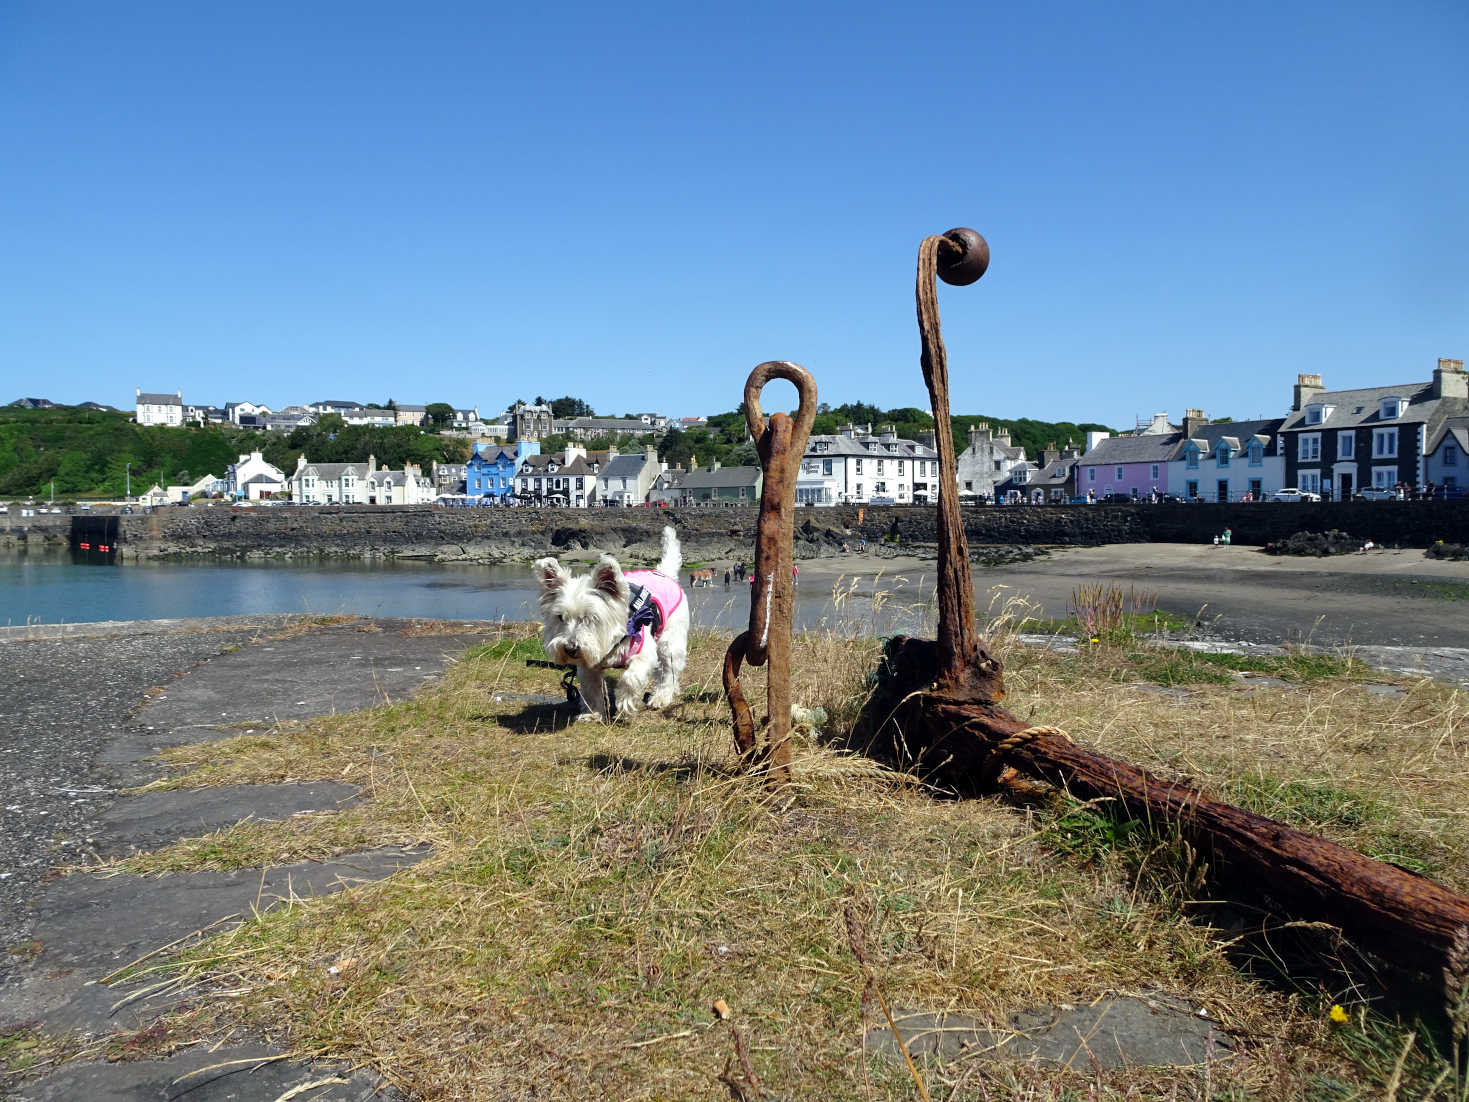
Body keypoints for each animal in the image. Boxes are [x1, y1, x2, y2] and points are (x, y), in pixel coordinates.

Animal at [534, 528, 687, 725]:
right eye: (560, 617)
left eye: (591, 617)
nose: (570, 649)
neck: (610, 645)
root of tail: (663, 573)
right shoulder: (587, 665)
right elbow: (591, 690)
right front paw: (593, 713)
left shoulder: (644, 653)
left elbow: (630, 678)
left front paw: (625, 706)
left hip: (669, 643)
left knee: (668, 672)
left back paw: (661, 697)